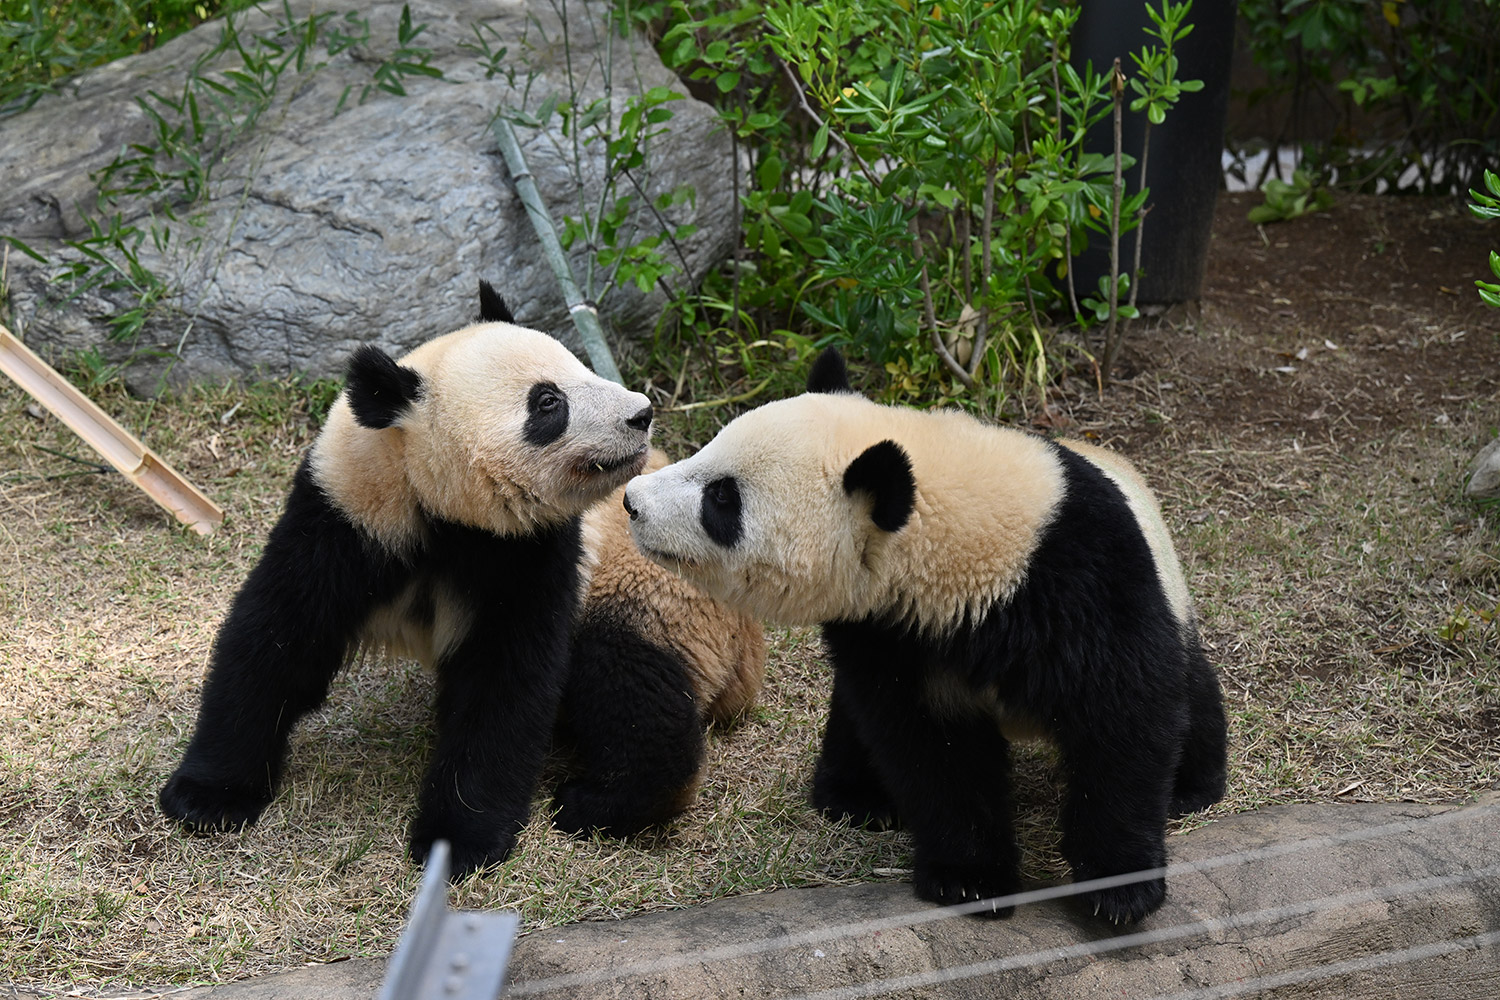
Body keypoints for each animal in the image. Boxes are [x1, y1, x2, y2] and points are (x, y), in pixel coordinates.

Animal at [624, 347, 1230, 929]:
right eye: (709, 452)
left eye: (722, 498)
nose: (632, 502)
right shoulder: (890, 627)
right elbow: (929, 745)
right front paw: (971, 879)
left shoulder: (1080, 582)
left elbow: (1121, 717)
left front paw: (1119, 890)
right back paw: (853, 797)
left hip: (1168, 587)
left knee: (1188, 690)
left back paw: (1191, 787)